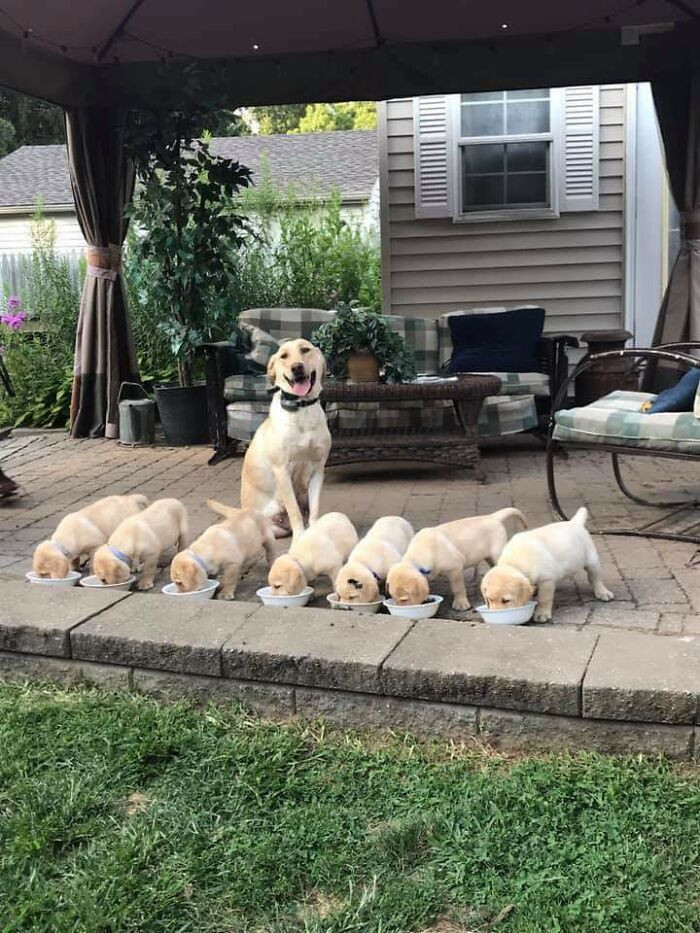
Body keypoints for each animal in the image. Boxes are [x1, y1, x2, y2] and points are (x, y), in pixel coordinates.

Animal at [241, 340, 330, 540]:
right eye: (283, 356)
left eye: (305, 350)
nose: (296, 367)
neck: (303, 408)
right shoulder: (282, 471)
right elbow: (294, 510)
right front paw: (300, 537)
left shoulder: (318, 469)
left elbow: (314, 509)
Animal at [386, 510, 528, 612]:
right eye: (393, 597)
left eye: (404, 600)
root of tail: (492, 517)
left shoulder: (454, 569)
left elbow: (458, 588)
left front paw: (461, 603)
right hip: (489, 556)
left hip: (496, 552)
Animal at [482, 506, 612, 624]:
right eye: (489, 600)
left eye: (506, 601)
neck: (514, 562)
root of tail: (575, 522)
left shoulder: (546, 579)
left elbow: (544, 599)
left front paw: (541, 614)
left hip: (591, 559)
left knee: (595, 577)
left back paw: (602, 592)